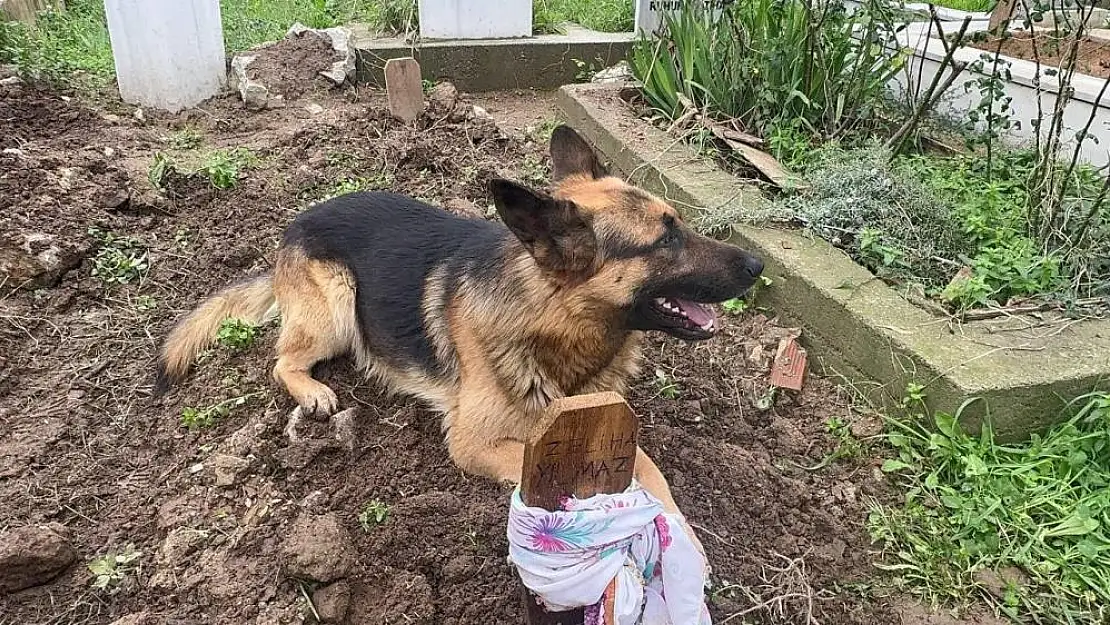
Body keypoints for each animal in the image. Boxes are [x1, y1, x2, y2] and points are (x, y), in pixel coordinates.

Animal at [156, 127, 763, 523]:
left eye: (679, 224)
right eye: (665, 240)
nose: (758, 265)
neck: (551, 320)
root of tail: (297, 223)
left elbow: (651, 472)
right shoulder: (473, 445)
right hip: (334, 308)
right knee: (282, 358)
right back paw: (313, 391)